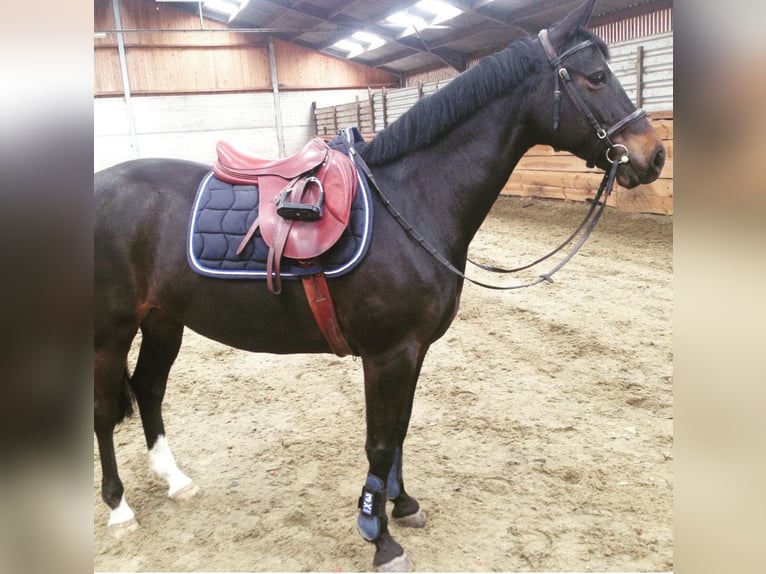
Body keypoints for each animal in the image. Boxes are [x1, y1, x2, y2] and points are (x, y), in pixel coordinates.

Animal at [94, 1, 665, 570]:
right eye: (596, 77)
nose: (654, 156)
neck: (410, 198)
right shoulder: (387, 353)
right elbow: (380, 443)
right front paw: (378, 533)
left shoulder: (414, 350)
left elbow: (401, 429)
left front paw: (402, 502)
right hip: (112, 332)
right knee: (104, 412)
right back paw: (119, 508)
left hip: (164, 319)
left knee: (148, 388)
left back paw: (176, 481)